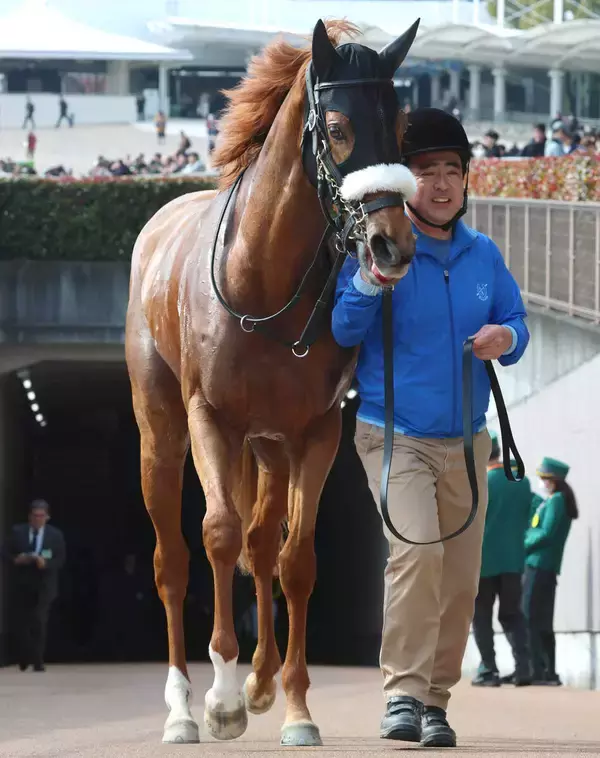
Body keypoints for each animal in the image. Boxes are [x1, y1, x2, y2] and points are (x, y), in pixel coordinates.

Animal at [125, 17, 420, 747]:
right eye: (338, 127)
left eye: (401, 126)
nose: (392, 244)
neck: (260, 274)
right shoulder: (211, 417)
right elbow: (218, 534)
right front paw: (222, 699)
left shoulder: (315, 430)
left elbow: (295, 558)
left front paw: (293, 707)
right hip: (161, 425)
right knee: (173, 557)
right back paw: (181, 708)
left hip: (269, 443)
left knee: (263, 542)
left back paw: (259, 683)